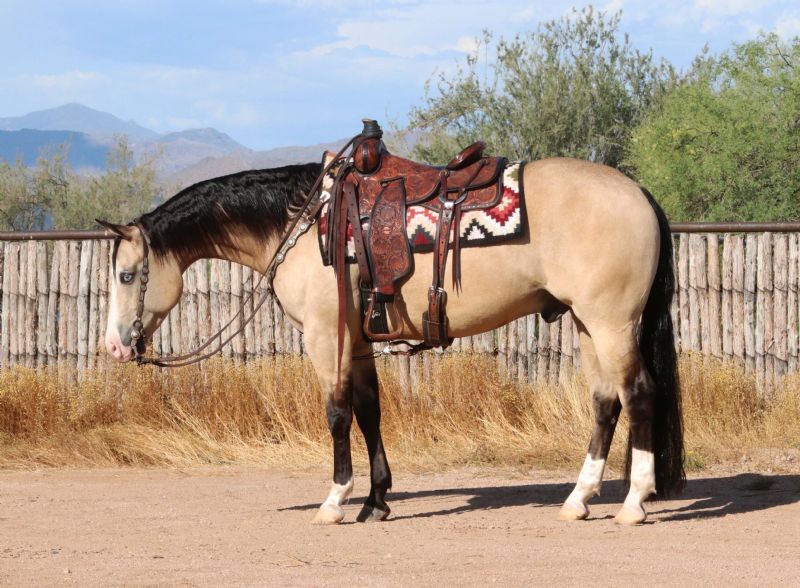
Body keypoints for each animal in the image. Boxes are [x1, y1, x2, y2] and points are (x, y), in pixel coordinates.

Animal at [99, 154, 684, 526]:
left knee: (639, 396)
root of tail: (638, 193)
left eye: (126, 275)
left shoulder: (326, 337)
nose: (114, 347)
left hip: (612, 323)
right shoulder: (357, 342)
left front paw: (336, 500)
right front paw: (375, 501)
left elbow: (337, 413)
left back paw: (633, 503)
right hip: (587, 324)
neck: (302, 224)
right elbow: (369, 412)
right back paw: (579, 499)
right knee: (605, 403)